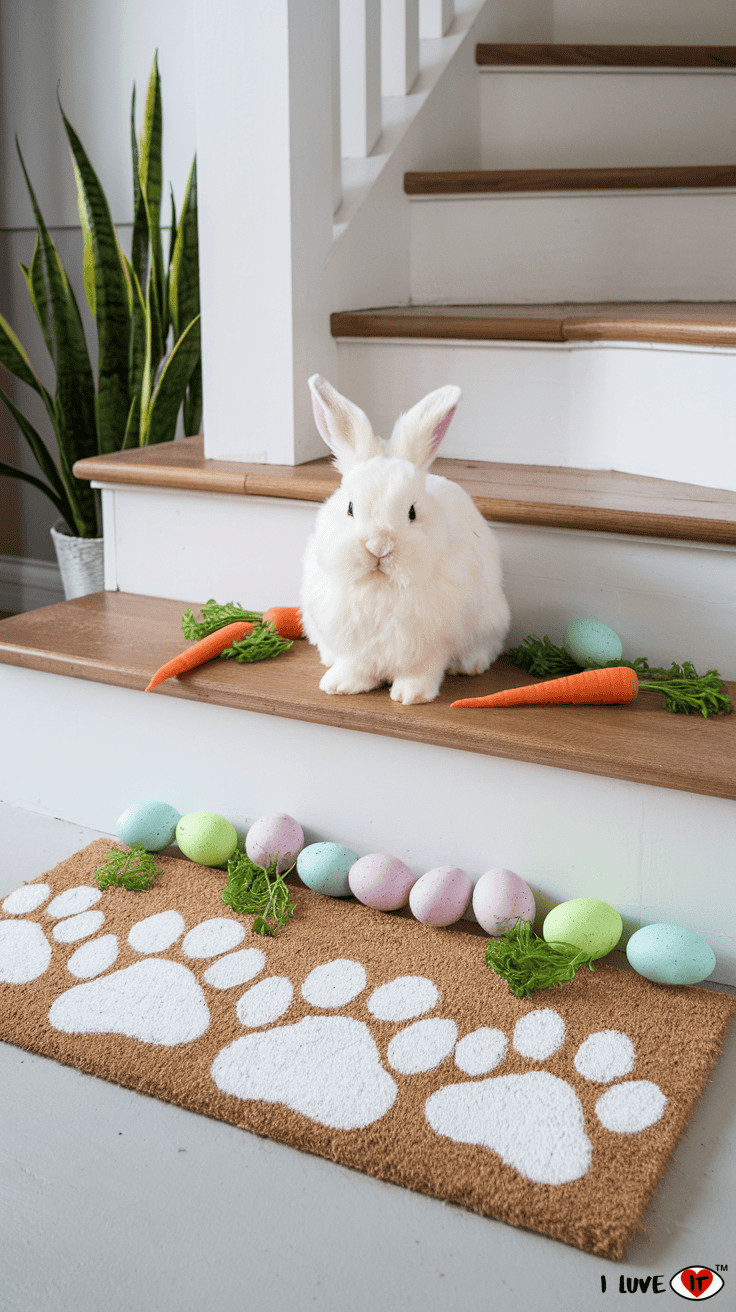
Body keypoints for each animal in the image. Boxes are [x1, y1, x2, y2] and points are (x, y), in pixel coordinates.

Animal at [301, 377, 509, 708]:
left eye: (412, 512)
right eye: (350, 508)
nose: (379, 546)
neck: (380, 585)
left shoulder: (430, 645)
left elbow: (421, 671)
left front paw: (411, 696)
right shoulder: (354, 645)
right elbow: (357, 666)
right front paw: (340, 685)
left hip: (490, 620)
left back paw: (469, 665)